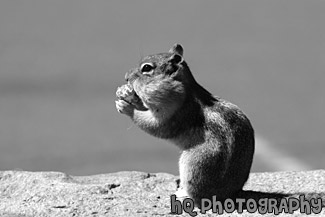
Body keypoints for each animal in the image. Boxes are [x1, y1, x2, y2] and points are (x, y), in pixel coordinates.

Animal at [115, 43, 254, 206]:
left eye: (147, 68)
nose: (126, 77)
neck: (185, 89)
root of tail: (229, 194)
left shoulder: (172, 112)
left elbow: (155, 126)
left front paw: (127, 107)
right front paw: (127, 94)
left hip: (194, 163)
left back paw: (183, 195)